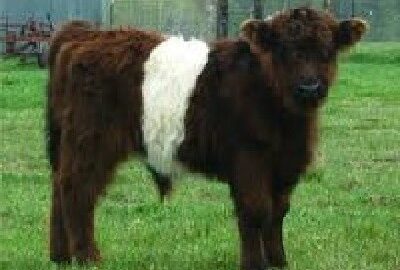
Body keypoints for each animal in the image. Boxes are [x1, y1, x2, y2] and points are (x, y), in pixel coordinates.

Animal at [46, 7, 366, 268]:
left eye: (328, 50)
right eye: (284, 50)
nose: (309, 87)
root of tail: (85, 33)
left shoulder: (285, 164)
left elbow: (278, 212)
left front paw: (279, 262)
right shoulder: (249, 158)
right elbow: (255, 210)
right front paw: (254, 264)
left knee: (59, 187)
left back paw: (60, 257)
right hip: (90, 140)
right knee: (77, 190)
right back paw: (88, 258)